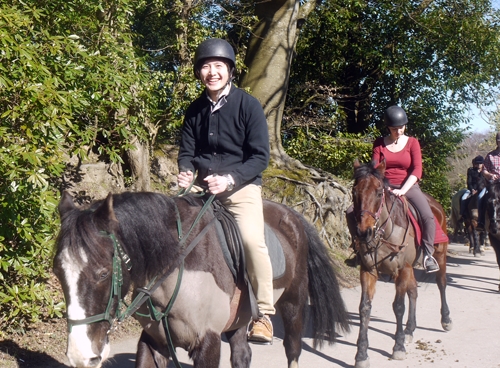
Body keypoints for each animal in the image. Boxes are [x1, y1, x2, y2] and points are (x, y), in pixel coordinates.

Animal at [52, 191, 350, 366]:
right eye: (58, 272)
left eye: (103, 273)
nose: (80, 355)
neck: (174, 266)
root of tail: (291, 215)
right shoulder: (154, 341)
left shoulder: (208, 342)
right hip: (240, 316)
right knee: (242, 354)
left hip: (293, 303)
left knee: (292, 348)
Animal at [350, 161, 452, 368]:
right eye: (354, 191)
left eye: (379, 192)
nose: (364, 232)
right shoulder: (369, 270)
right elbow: (364, 307)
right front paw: (361, 354)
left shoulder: (401, 270)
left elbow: (398, 306)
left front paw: (398, 347)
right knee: (413, 291)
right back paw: (410, 329)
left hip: (439, 256)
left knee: (441, 283)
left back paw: (445, 319)